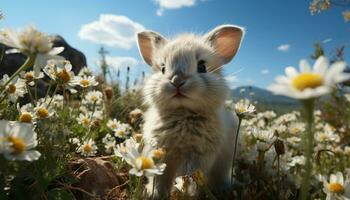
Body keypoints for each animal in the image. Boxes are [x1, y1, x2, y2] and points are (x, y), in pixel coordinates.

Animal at [135, 24, 245, 198]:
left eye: (202, 67)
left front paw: (188, 192)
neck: (183, 113)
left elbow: (190, 176)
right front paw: (155, 194)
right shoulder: (161, 154)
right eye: (163, 68)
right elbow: (160, 178)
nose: (177, 81)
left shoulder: (198, 156)